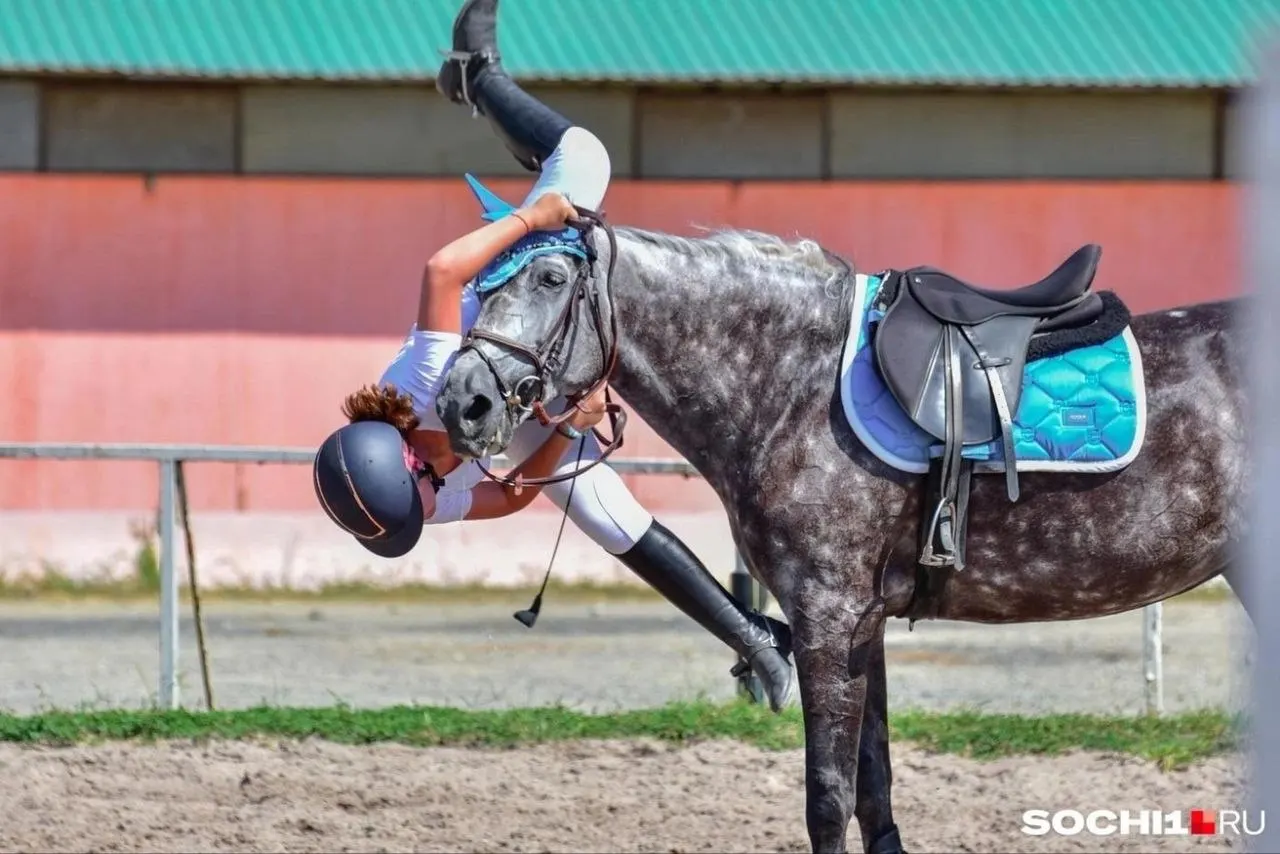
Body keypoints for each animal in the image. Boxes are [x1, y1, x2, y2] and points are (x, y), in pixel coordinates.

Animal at [432, 191, 1249, 854]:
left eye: (550, 279)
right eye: (480, 284)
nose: (462, 402)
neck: (794, 383)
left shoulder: (827, 614)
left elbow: (827, 799)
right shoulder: (862, 622)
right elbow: (873, 792)